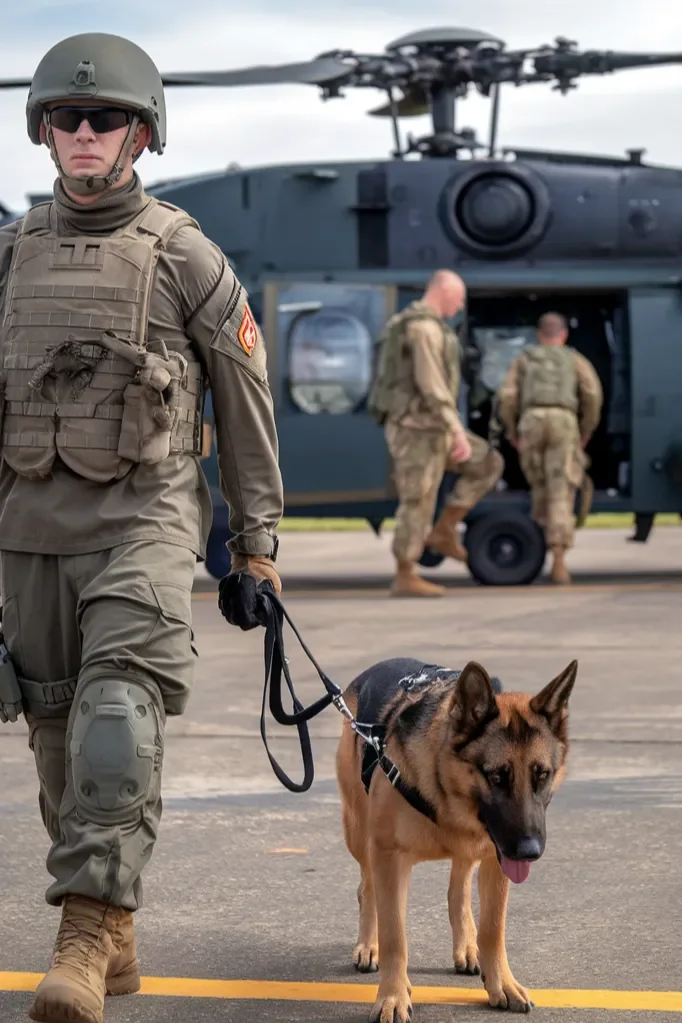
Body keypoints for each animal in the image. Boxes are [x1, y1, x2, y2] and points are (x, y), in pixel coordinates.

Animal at [335, 658, 576, 1018]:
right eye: (496, 776)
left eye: (542, 774)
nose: (529, 852)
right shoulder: (389, 858)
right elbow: (395, 937)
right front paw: (393, 996)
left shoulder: (495, 860)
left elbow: (493, 928)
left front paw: (501, 982)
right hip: (360, 835)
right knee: (368, 890)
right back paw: (369, 945)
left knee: (457, 890)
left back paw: (467, 946)